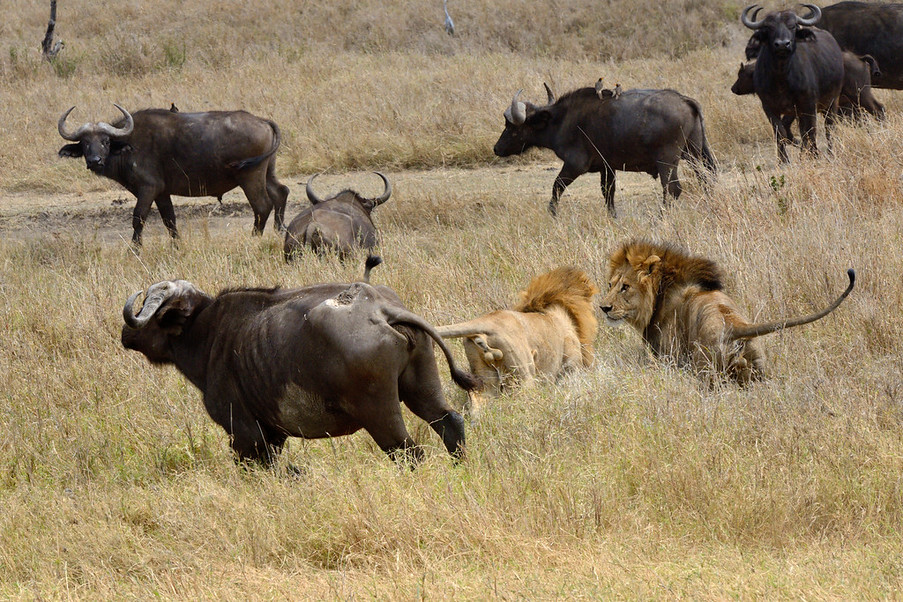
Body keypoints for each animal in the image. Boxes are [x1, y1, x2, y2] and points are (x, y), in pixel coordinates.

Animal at [438, 264, 600, 414]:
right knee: (523, 400)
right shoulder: (571, 366)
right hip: (523, 372)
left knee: (478, 404)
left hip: (484, 378)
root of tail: (486, 322)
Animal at [600, 238, 856, 382]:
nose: (603, 307)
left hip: (704, 371)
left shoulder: (670, 358)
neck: (660, 296)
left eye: (625, 287)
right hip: (758, 371)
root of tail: (734, 325)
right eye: (610, 285)